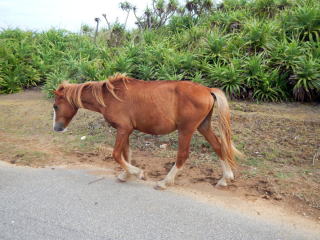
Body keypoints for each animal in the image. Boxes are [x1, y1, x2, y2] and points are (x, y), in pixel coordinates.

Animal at [52, 73, 241, 189]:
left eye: (55, 106)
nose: (57, 128)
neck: (110, 96)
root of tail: (207, 90)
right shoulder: (125, 131)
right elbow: (126, 154)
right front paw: (126, 175)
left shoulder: (123, 129)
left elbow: (116, 154)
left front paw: (138, 173)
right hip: (203, 126)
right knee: (218, 147)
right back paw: (225, 179)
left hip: (186, 130)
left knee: (182, 156)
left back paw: (165, 182)